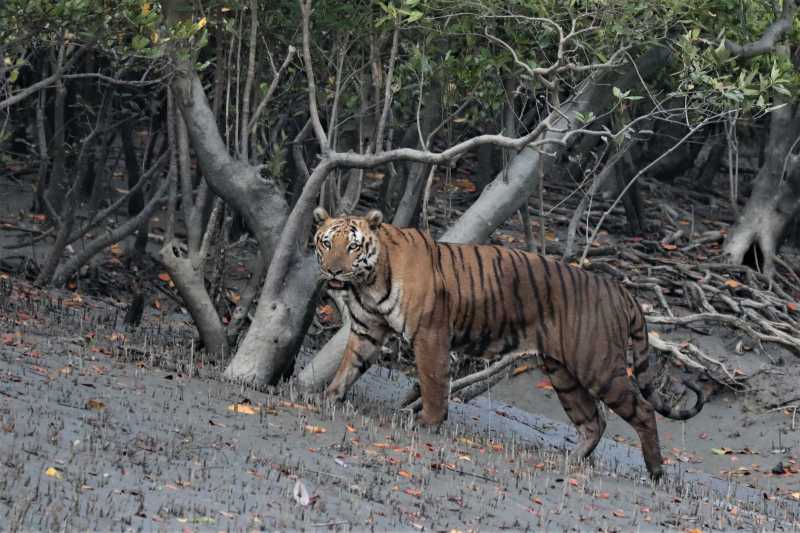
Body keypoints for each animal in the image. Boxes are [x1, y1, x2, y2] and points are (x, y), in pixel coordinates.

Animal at [312, 207, 703, 480]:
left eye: (353, 246)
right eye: (326, 242)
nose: (333, 271)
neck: (368, 282)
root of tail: (621, 289)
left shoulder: (430, 335)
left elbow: (433, 382)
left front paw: (427, 423)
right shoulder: (367, 330)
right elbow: (348, 368)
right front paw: (328, 398)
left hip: (598, 366)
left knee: (643, 411)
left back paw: (655, 472)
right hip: (563, 373)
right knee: (594, 421)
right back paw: (569, 459)